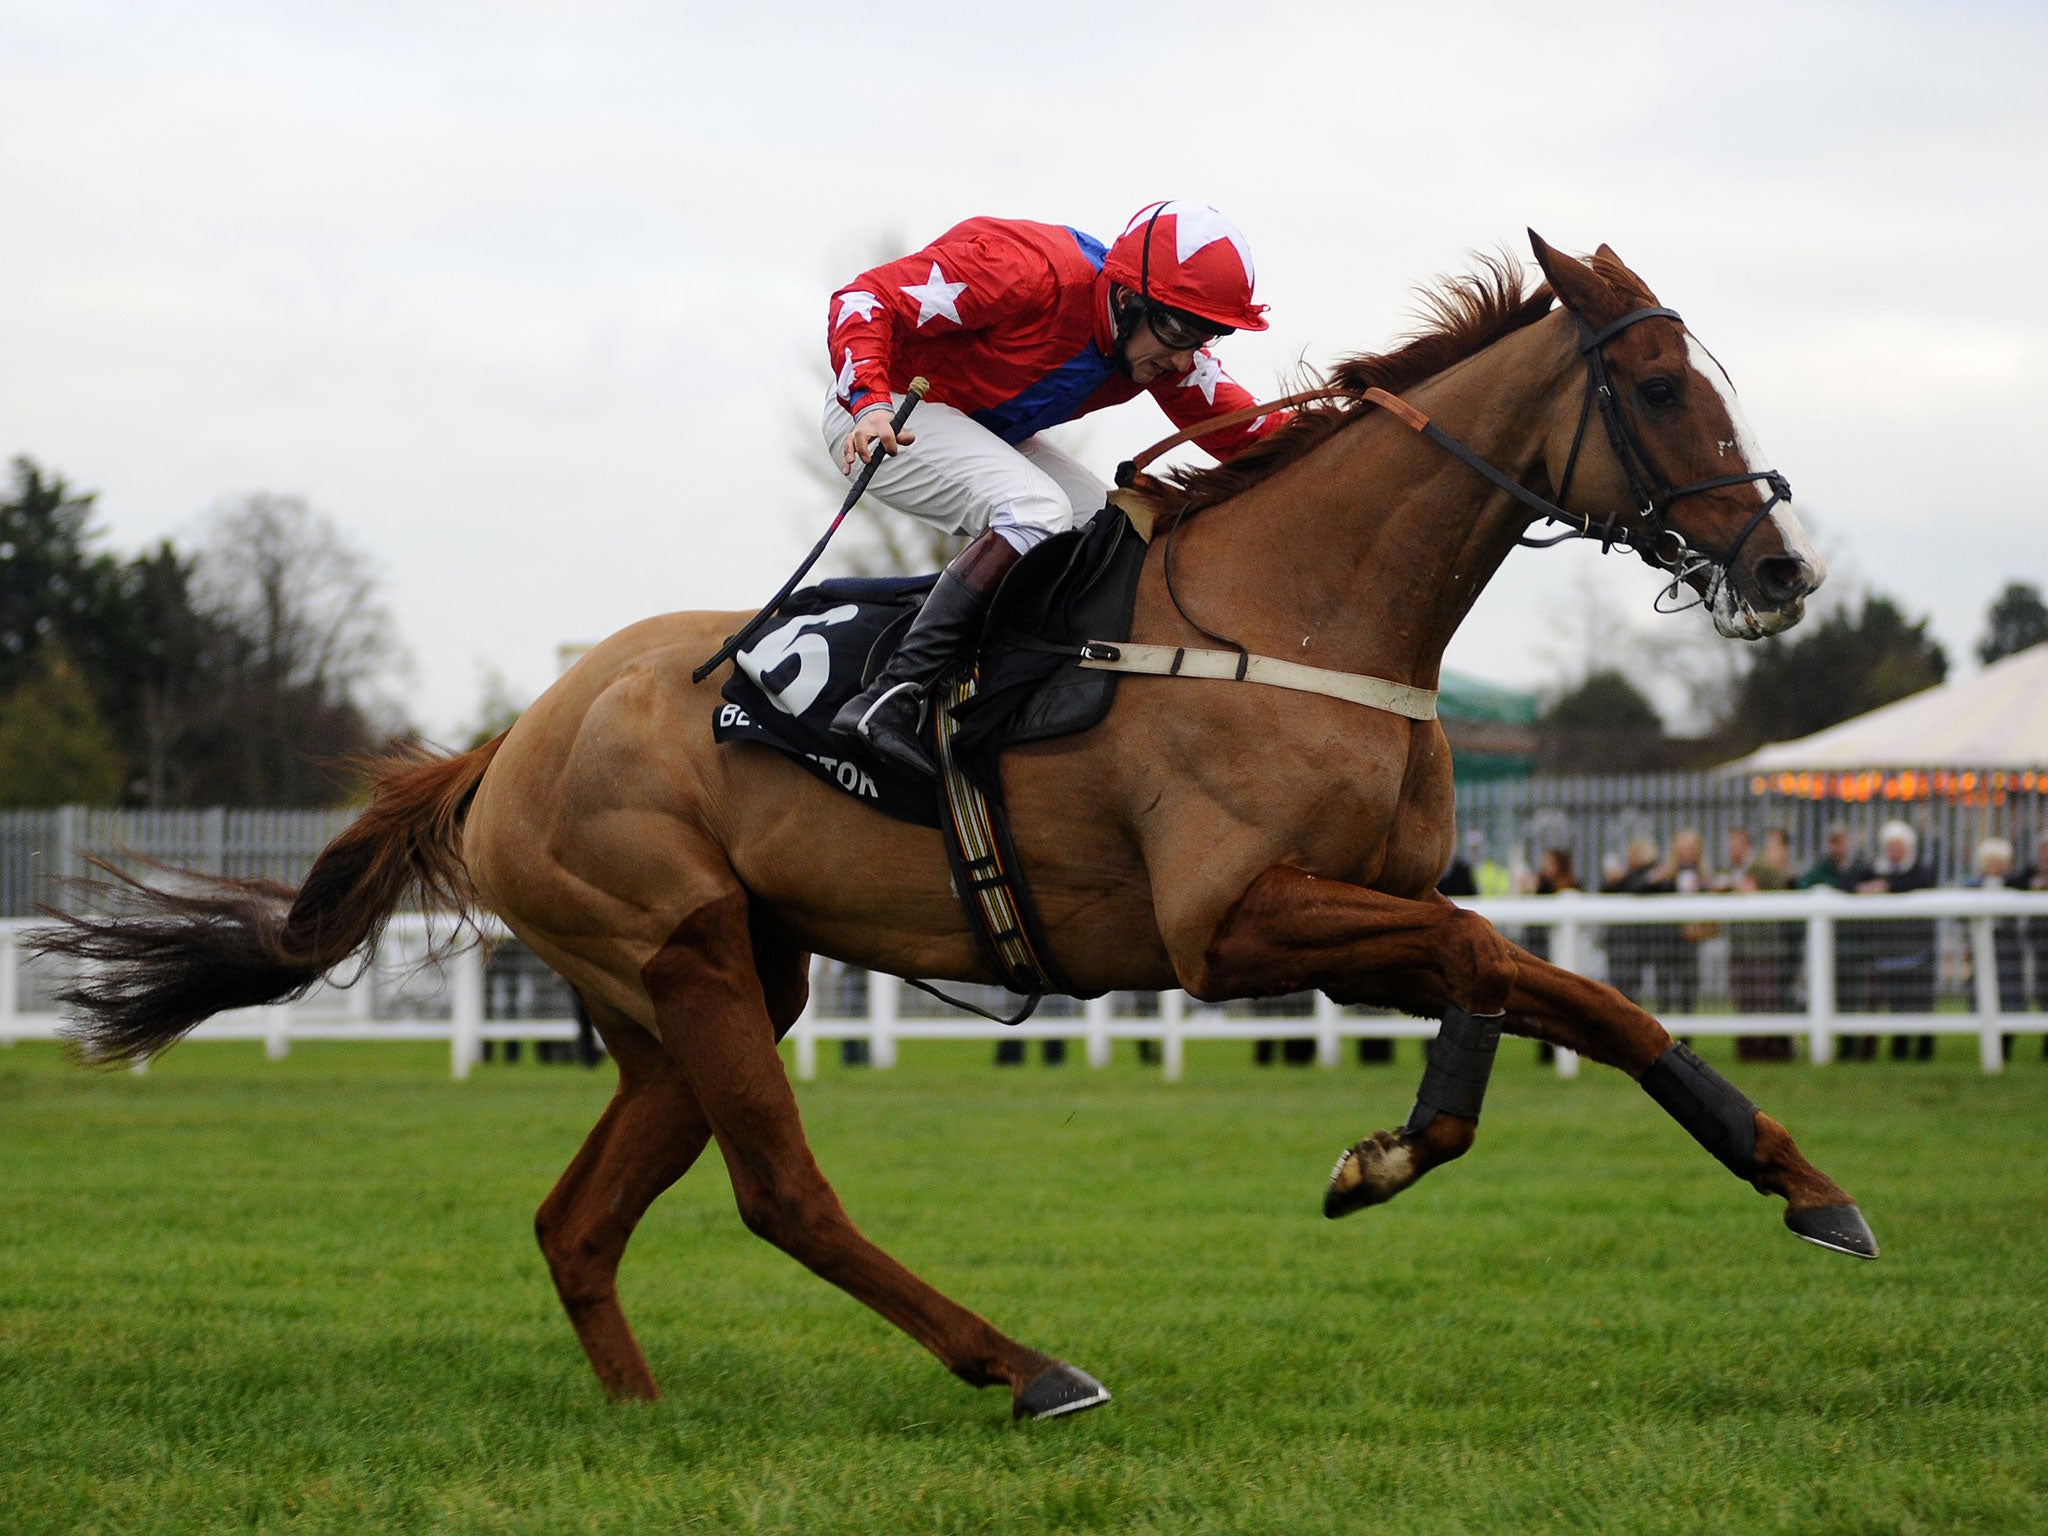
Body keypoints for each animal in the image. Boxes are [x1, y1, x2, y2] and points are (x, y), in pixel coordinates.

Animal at [44, 231, 1875, 1433]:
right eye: (1659, 383)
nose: (1781, 568)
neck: (1299, 613)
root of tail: (515, 740)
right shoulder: (1231, 928)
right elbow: (1488, 958)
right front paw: (1392, 1152)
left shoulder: (1355, 901)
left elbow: (1584, 994)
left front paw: (1804, 1183)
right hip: (684, 954)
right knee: (784, 1194)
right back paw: (1023, 1366)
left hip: (701, 988)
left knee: (581, 1218)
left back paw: (643, 1417)